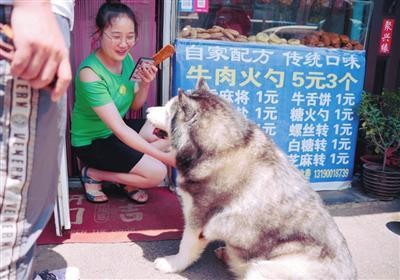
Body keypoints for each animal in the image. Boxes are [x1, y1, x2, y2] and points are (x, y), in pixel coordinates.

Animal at [146, 77, 356, 278]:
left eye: (167, 111)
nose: (147, 110)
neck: (225, 147)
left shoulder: (198, 218)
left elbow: (186, 246)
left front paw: (171, 264)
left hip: (263, 269)